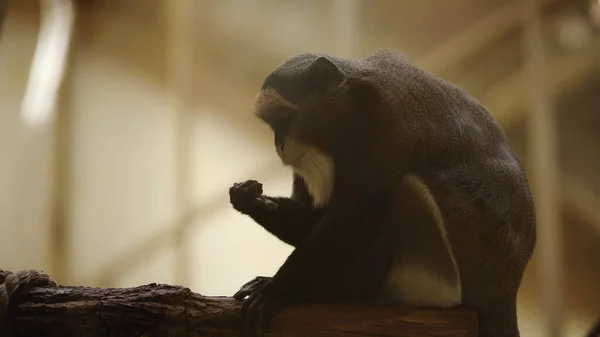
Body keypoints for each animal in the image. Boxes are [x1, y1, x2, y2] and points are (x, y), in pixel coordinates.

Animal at [229, 49, 536, 336]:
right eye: (272, 125)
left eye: (284, 117)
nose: (279, 145)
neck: (349, 103)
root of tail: (504, 295)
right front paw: (248, 199)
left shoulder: (386, 121)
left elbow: (352, 219)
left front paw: (276, 290)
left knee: (408, 189)